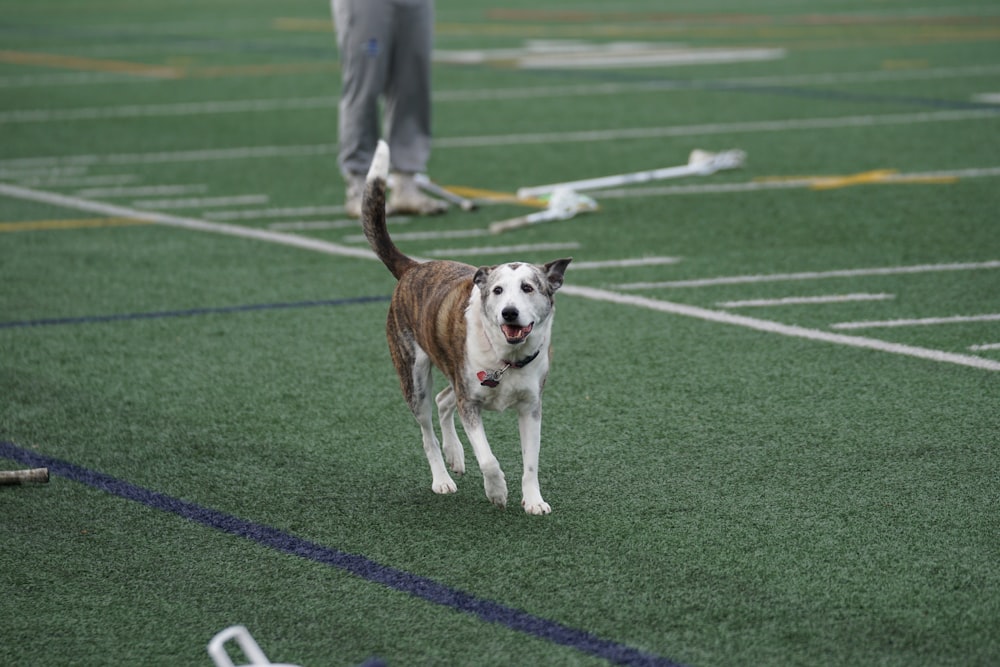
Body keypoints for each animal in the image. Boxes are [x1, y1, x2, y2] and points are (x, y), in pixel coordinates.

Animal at [364, 141, 576, 516]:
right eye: (497, 290)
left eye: (528, 288)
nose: (509, 313)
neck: (506, 358)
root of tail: (413, 268)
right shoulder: (471, 404)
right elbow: (489, 459)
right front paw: (497, 492)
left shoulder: (531, 405)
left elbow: (532, 461)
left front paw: (534, 501)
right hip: (413, 373)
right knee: (427, 428)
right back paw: (442, 478)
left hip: (453, 374)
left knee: (443, 399)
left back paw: (455, 454)